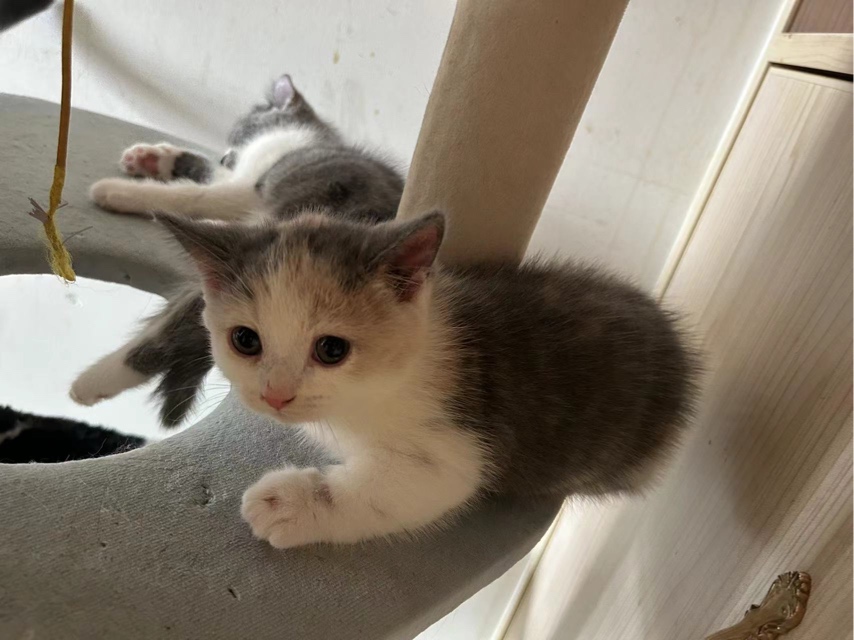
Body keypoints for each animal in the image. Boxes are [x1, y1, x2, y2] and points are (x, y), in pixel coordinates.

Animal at [70, 75, 403, 426]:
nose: (225, 157)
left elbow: (195, 195)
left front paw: (120, 191)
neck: (305, 138)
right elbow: (209, 175)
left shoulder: (249, 189)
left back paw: (93, 380)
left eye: (243, 131)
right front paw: (153, 157)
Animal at [134, 209, 699, 549]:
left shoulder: (460, 450)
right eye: (245, 341)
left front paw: (290, 504)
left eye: (332, 350)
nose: (275, 394)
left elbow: (396, 488)